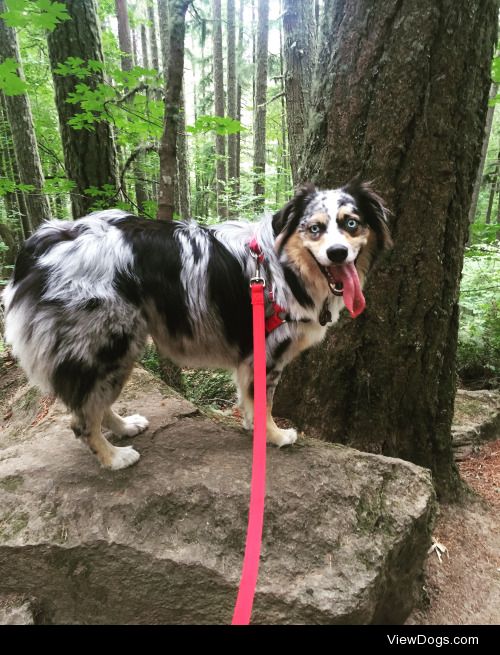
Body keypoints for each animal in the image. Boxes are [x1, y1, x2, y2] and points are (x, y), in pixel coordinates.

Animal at [2, 179, 390, 472]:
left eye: (351, 223)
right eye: (315, 228)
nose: (338, 253)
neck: (285, 267)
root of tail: (44, 243)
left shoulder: (251, 357)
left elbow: (250, 401)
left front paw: (255, 428)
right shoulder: (268, 352)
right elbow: (265, 403)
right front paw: (276, 437)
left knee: (94, 402)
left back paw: (125, 427)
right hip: (108, 342)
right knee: (82, 417)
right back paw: (113, 458)